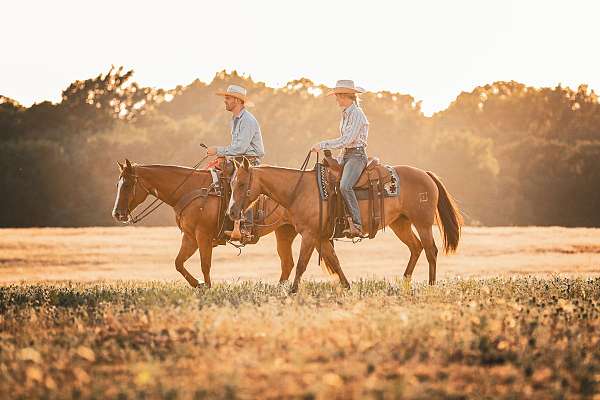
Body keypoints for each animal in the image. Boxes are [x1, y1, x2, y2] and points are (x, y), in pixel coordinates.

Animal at [111, 159, 300, 288]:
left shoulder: (203, 236)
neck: (189, 189)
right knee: (287, 263)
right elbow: (178, 263)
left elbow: (205, 265)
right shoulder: (189, 238)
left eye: (127, 185)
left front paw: (206, 287)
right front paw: (198, 284)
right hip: (284, 232)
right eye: (118, 184)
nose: (117, 214)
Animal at [227, 158, 462, 292]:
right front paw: (348, 287)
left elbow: (302, 264)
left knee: (431, 251)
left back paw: (431, 285)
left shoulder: (309, 235)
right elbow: (335, 261)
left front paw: (292, 291)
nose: (231, 212)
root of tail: (426, 174)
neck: (300, 190)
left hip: (423, 223)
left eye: (242, 183)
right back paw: (404, 281)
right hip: (400, 224)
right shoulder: (321, 237)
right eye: (231, 183)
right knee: (416, 247)